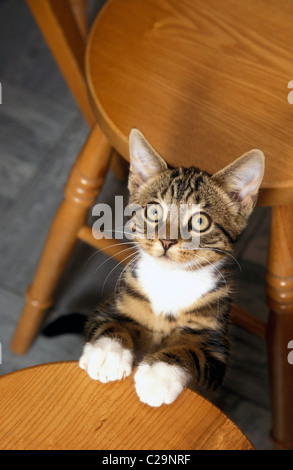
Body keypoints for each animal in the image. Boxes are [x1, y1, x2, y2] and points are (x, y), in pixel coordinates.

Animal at [78, 129, 264, 408]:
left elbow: (192, 351)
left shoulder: (216, 345)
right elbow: (110, 323)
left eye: (200, 221)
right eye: (154, 211)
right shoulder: (117, 301)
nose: (166, 241)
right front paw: (107, 353)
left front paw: (159, 375)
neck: (172, 280)